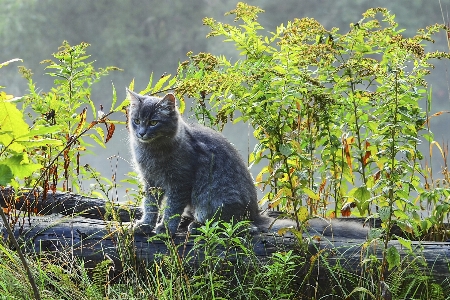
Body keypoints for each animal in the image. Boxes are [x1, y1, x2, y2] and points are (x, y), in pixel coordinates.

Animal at [126, 89, 370, 239]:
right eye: (136, 120)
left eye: (154, 122)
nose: (141, 132)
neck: (153, 152)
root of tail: (255, 213)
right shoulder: (151, 182)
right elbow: (150, 206)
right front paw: (145, 224)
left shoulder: (180, 182)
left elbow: (171, 209)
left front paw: (165, 228)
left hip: (213, 199)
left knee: (236, 225)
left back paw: (196, 225)